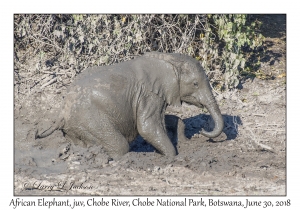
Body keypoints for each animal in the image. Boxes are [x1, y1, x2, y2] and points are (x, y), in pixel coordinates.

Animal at [36, 51, 224, 158]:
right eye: (195, 84)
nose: (203, 131)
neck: (169, 59)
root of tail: (61, 114)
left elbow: (164, 120)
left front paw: (182, 142)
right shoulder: (148, 94)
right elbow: (147, 126)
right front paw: (172, 157)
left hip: (76, 127)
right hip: (90, 119)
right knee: (120, 146)